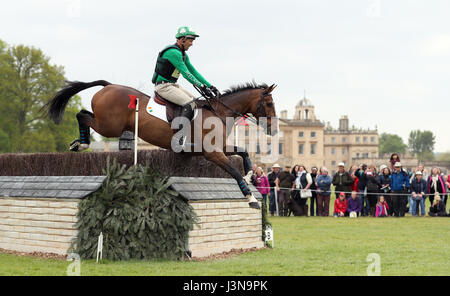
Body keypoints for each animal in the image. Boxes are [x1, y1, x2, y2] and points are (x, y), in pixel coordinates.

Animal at [44, 80, 278, 208]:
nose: (273, 129)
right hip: (109, 126)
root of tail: (109, 86)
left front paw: (250, 175)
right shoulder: (212, 153)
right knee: (82, 115)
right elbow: (234, 171)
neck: (218, 112)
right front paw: (251, 198)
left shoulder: (217, 149)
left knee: (84, 114)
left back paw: (78, 143)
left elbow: (244, 153)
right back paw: (82, 144)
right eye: (268, 103)